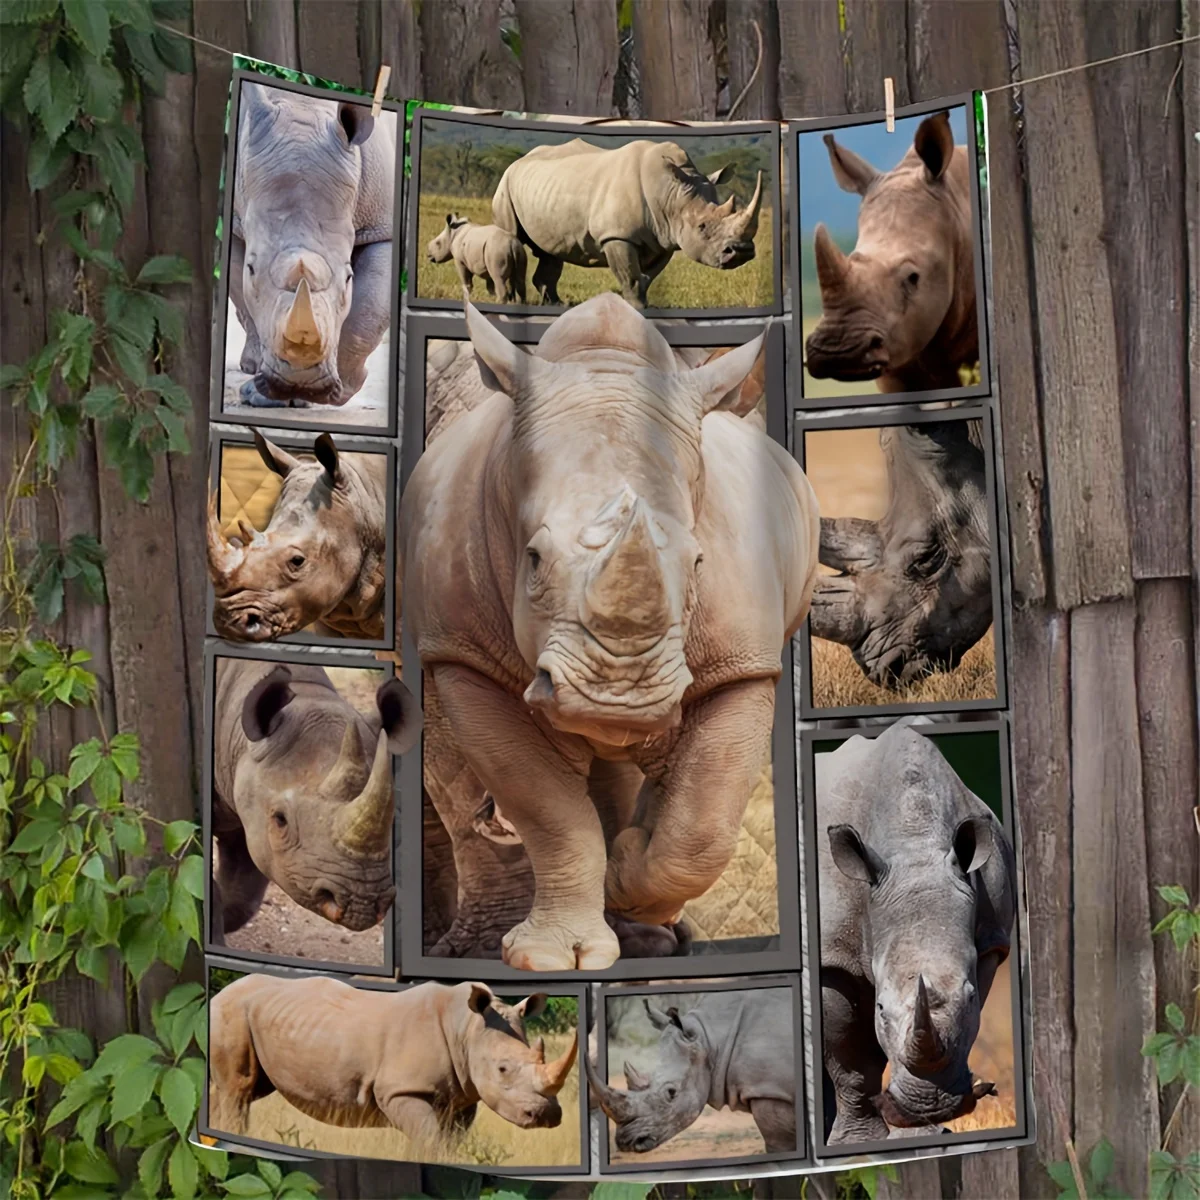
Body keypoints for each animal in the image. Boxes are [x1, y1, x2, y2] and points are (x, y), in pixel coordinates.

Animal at [209, 974, 578, 1145]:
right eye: (502, 1069)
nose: (546, 1116)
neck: (466, 1028)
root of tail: (218, 994)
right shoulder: (400, 1091)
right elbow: (430, 1141)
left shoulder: (462, 1097)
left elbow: (450, 1145)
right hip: (231, 1012)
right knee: (239, 1090)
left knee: (240, 1089)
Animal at [230, 82, 396, 407]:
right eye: (252, 269)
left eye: (349, 277)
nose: (297, 384)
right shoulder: (232, 222)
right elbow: (244, 295)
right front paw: (265, 397)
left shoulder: (381, 226)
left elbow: (368, 312)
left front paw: (330, 393)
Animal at [400, 294, 819, 970]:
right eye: (533, 560)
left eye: (698, 563)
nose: (618, 700)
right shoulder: (463, 654)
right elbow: (549, 810)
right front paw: (551, 957)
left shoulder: (744, 661)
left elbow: (704, 823)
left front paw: (624, 875)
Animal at [491, 138, 763, 307]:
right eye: (702, 227)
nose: (742, 252)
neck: (670, 194)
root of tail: (518, 161)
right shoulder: (617, 235)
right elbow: (630, 274)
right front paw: (636, 307)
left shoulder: (664, 237)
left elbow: (647, 276)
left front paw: (642, 303)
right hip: (505, 185)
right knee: (511, 239)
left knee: (552, 250)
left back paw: (556, 304)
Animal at [817, 724, 1016, 1145]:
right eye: (881, 1008)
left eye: (970, 997)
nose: (929, 1105)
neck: (914, 846)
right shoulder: (831, 954)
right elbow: (849, 1053)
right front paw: (860, 1144)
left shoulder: (990, 941)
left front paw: (925, 1131)